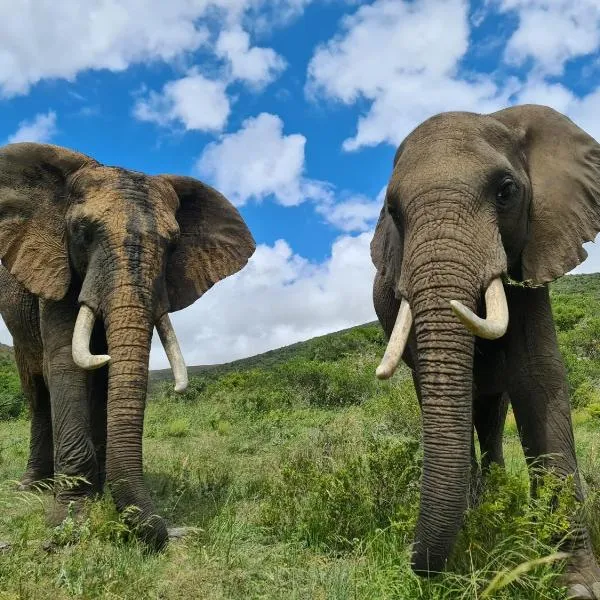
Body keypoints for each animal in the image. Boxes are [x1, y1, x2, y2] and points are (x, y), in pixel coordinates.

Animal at [0, 143, 255, 552]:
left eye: (172, 245)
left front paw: (100, 498)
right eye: (82, 232)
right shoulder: (56, 266)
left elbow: (105, 376)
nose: (168, 532)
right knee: (37, 390)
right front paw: (68, 521)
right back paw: (32, 486)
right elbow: (66, 364)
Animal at [370, 105, 600, 596]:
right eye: (393, 211)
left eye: (506, 191)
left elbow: (539, 380)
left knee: (492, 413)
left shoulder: (534, 248)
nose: (411, 561)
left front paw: (576, 585)